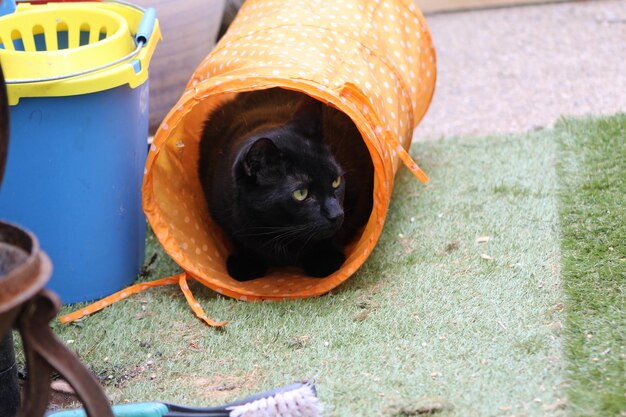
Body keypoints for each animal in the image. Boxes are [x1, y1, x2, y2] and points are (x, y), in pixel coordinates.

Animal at [197, 89, 370, 282]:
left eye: (336, 181)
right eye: (301, 193)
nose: (336, 214)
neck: (278, 232)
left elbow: (338, 232)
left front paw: (324, 260)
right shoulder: (222, 209)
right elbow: (239, 239)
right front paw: (245, 265)